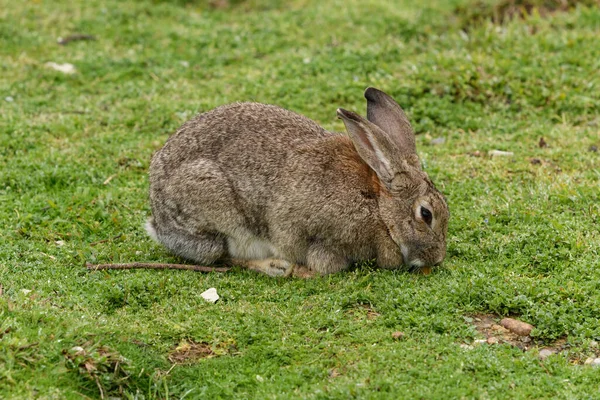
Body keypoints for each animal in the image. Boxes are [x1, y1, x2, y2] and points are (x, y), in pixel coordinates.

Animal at [145, 86, 448, 276]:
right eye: (426, 214)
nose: (437, 258)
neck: (379, 209)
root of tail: (158, 224)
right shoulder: (322, 237)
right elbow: (327, 264)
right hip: (217, 212)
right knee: (223, 256)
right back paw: (275, 267)